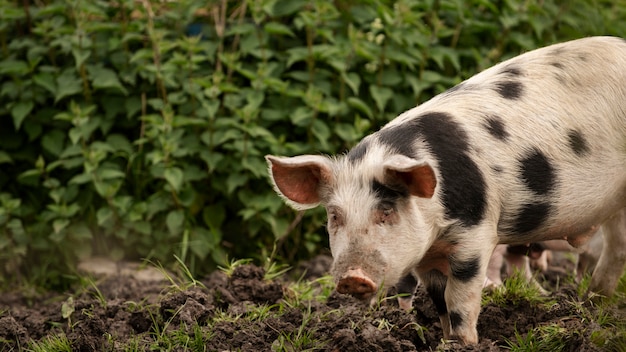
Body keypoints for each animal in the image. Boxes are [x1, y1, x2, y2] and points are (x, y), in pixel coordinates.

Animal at [266, 37, 624, 346]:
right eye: (334, 215)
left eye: (387, 209)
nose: (353, 277)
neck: (437, 224)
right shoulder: (428, 257)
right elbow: (439, 300)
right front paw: (444, 340)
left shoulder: (477, 234)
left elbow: (459, 297)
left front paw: (464, 343)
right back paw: (594, 302)